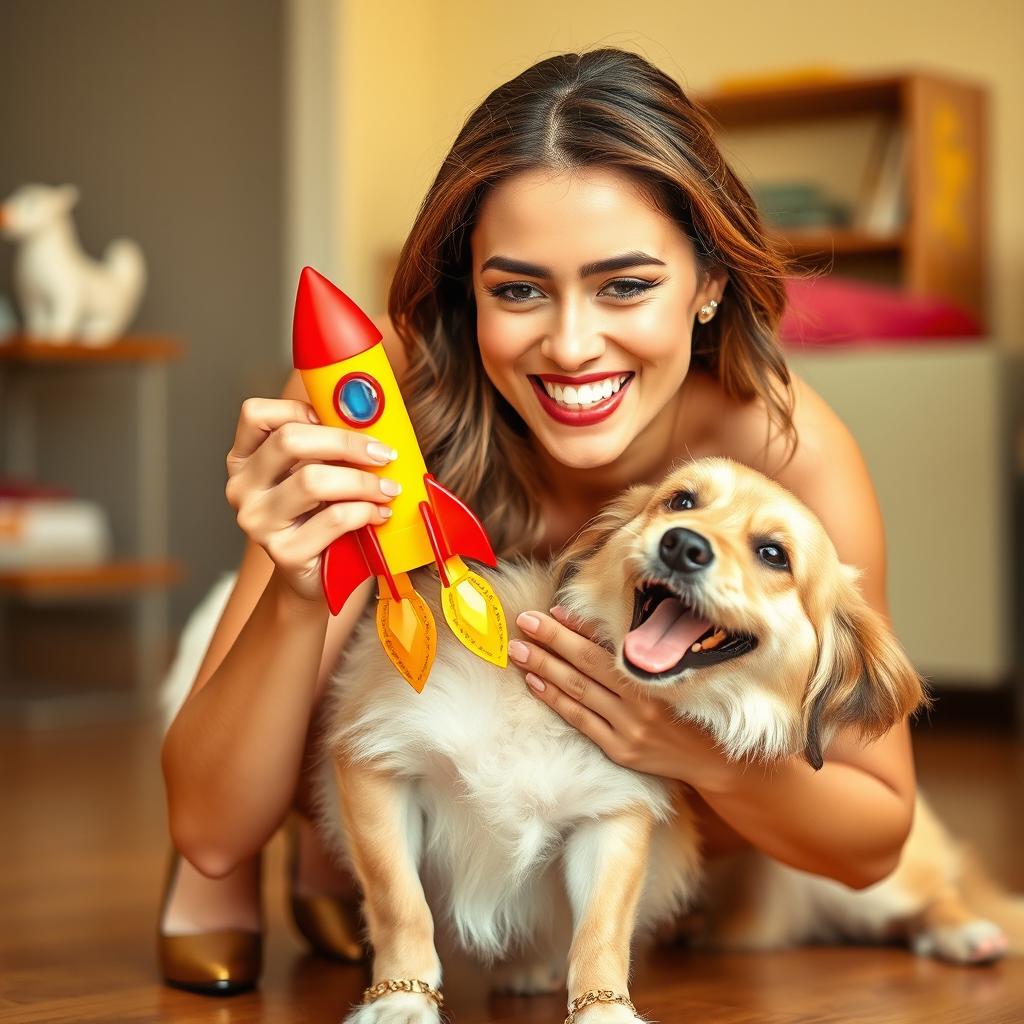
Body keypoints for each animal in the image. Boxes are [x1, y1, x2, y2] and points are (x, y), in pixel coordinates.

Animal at [0, 183, 146, 344]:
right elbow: (36, 318)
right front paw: (37, 336)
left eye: (32, 203)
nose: (5, 213)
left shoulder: (67, 295)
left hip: (112, 311)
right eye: (14, 197)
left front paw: (56, 336)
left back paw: (95, 332)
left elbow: (63, 315)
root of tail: (122, 284)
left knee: (113, 324)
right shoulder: (31, 297)